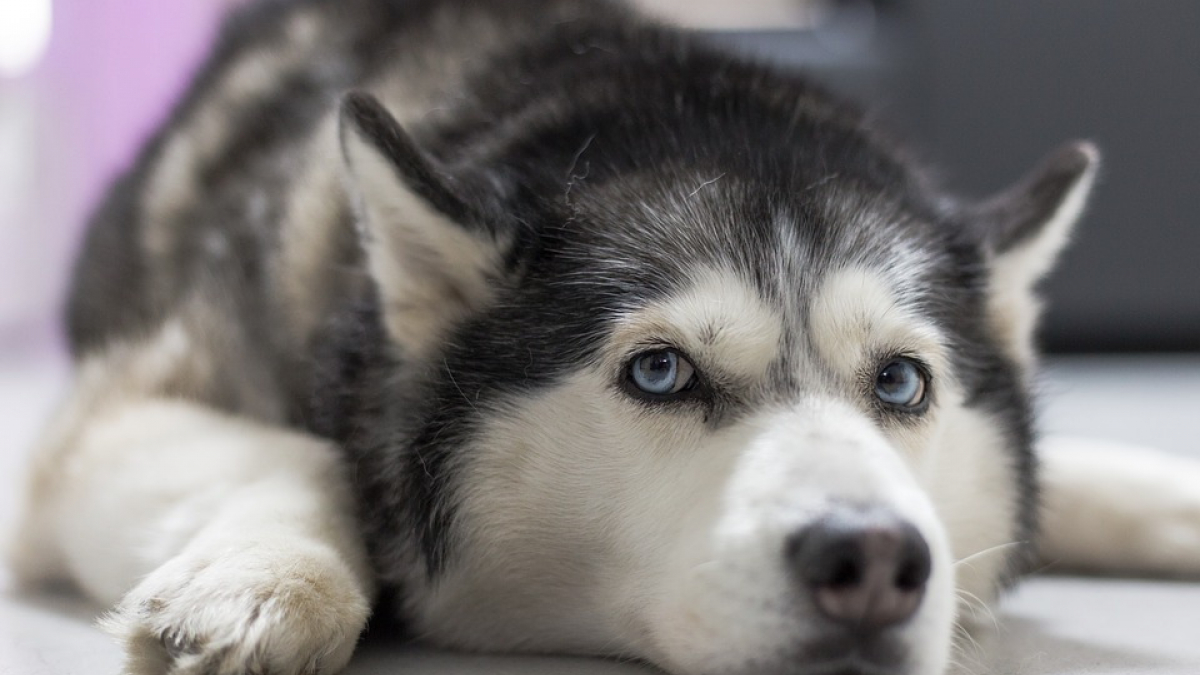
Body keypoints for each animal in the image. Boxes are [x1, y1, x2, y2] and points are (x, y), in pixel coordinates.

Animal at [9, 1, 1200, 672]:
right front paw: (263, 581)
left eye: (902, 384)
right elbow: (309, 455)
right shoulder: (102, 422)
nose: (872, 560)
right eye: (660, 371)